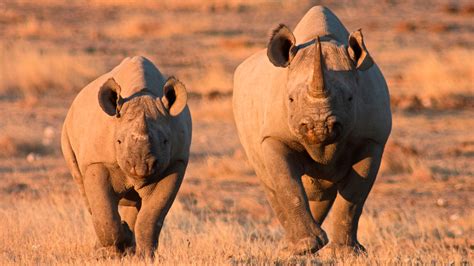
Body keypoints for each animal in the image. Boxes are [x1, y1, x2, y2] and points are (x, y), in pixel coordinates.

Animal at [61, 56, 191, 258]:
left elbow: (151, 216)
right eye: (119, 141)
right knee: (87, 195)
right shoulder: (97, 161)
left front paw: (145, 256)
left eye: (165, 141)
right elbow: (105, 214)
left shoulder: (175, 164)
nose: (142, 166)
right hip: (67, 132)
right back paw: (108, 248)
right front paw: (116, 248)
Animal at [233, 6, 392, 255]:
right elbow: (288, 185)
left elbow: (354, 196)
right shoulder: (273, 136)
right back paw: (292, 248)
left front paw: (345, 252)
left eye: (350, 98)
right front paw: (306, 247)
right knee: (271, 183)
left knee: (321, 190)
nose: (319, 126)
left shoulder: (372, 139)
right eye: (290, 99)